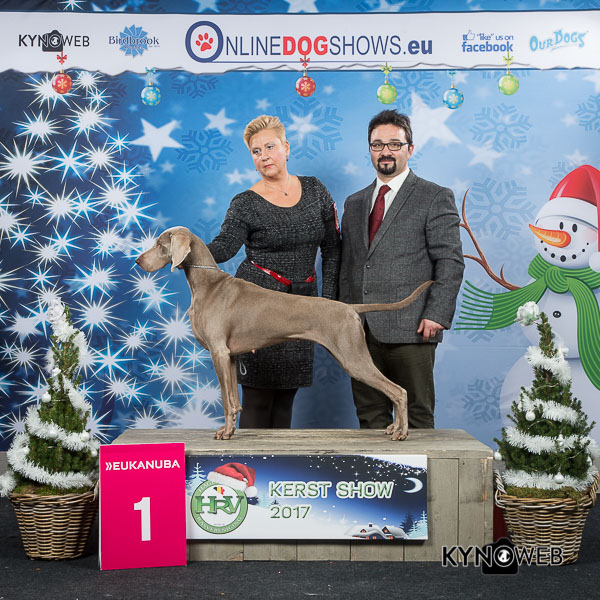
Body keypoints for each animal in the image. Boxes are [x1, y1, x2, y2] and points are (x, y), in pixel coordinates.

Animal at [136, 227, 432, 441]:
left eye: (160, 244)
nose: (137, 260)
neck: (208, 284)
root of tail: (350, 307)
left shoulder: (218, 352)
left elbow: (225, 401)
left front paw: (225, 432)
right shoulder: (230, 356)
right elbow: (234, 400)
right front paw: (231, 429)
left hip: (354, 358)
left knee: (399, 391)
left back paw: (402, 432)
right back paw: (394, 428)